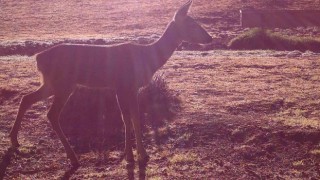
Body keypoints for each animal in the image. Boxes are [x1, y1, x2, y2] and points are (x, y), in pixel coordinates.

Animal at [8, 0, 212, 170]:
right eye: (191, 23)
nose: (210, 38)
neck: (147, 58)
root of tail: (38, 58)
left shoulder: (131, 88)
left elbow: (135, 117)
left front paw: (142, 155)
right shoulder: (122, 85)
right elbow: (127, 118)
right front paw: (130, 156)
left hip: (52, 84)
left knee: (26, 98)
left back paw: (15, 141)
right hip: (64, 84)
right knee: (51, 114)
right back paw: (73, 158)